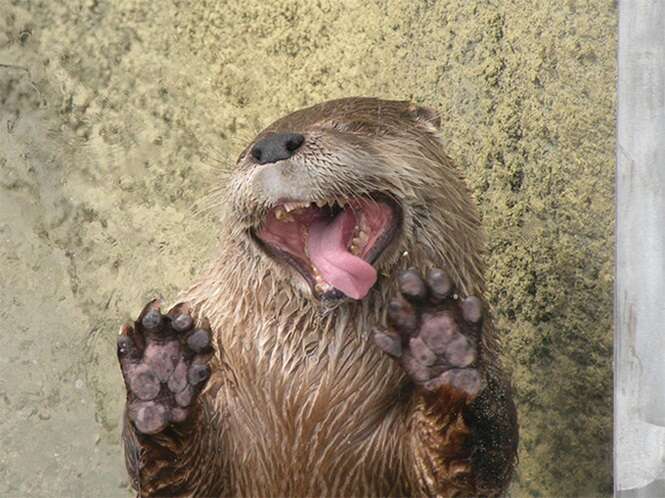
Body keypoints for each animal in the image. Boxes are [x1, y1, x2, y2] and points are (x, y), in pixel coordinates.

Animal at [116, 97, 516, 498]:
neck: (306, 386)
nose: (272, 146)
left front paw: (439, 340)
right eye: (247, 150)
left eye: (356, 127)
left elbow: (465, 464)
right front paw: (162, 370)